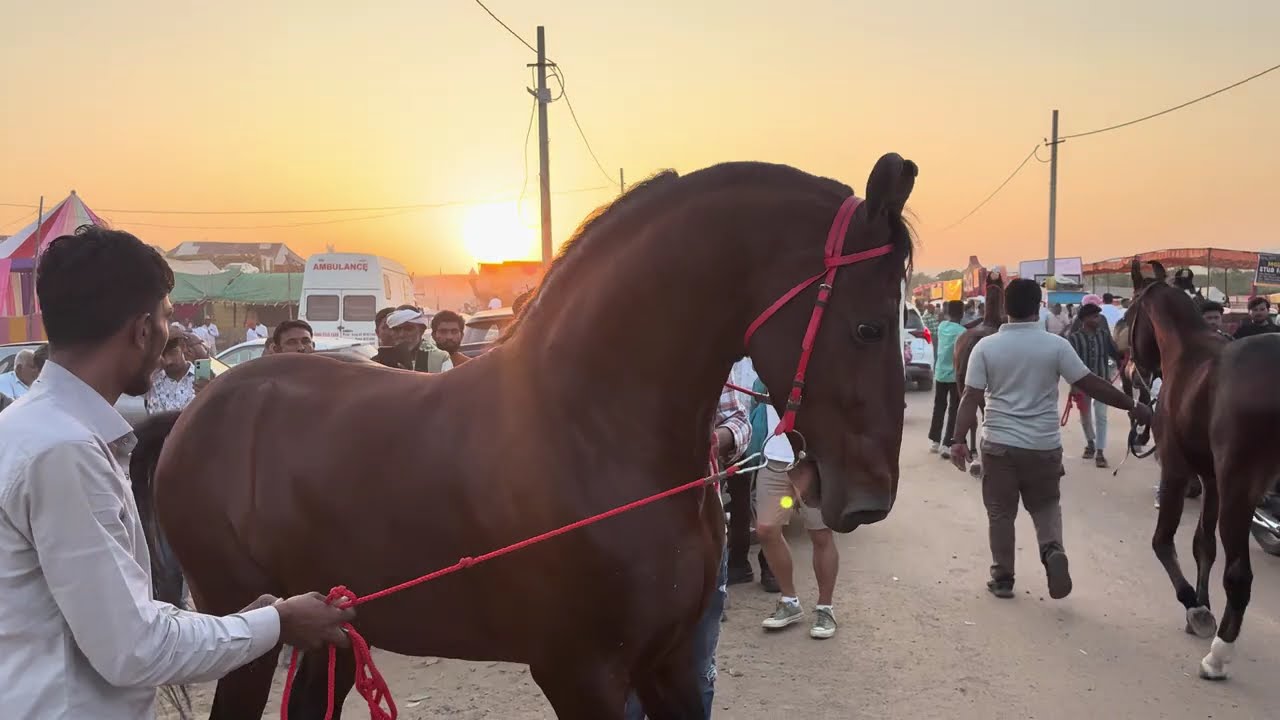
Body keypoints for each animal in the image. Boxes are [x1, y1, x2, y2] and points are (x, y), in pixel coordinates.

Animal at [130, 156, 919, 719]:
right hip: (249, 633)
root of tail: (198, 409)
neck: (592, 432)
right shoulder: (582, 675)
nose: (868, 498)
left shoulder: (668, 665)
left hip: (327, 631)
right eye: (868, 325)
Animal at [1127, 259, 1280, 680]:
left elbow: (1163, 541)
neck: (1188, 353)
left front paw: (1193, 605)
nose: (1132, 372)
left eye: (1128, 313)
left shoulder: (1177, 470)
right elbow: (1202, 545)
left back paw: (1218, 656)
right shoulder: (1211, 478)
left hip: (1240, 488)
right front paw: (1200, 600)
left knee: (1239, 575)